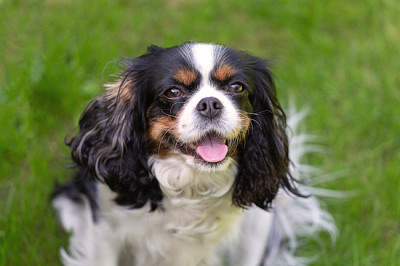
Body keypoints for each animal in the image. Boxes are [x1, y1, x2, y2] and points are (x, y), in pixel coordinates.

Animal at [52, 42, 334, 264]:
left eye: (237, 87)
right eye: (173, 92)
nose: (210, 104)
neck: (194, 183)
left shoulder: (252, 235)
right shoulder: (105, 233)